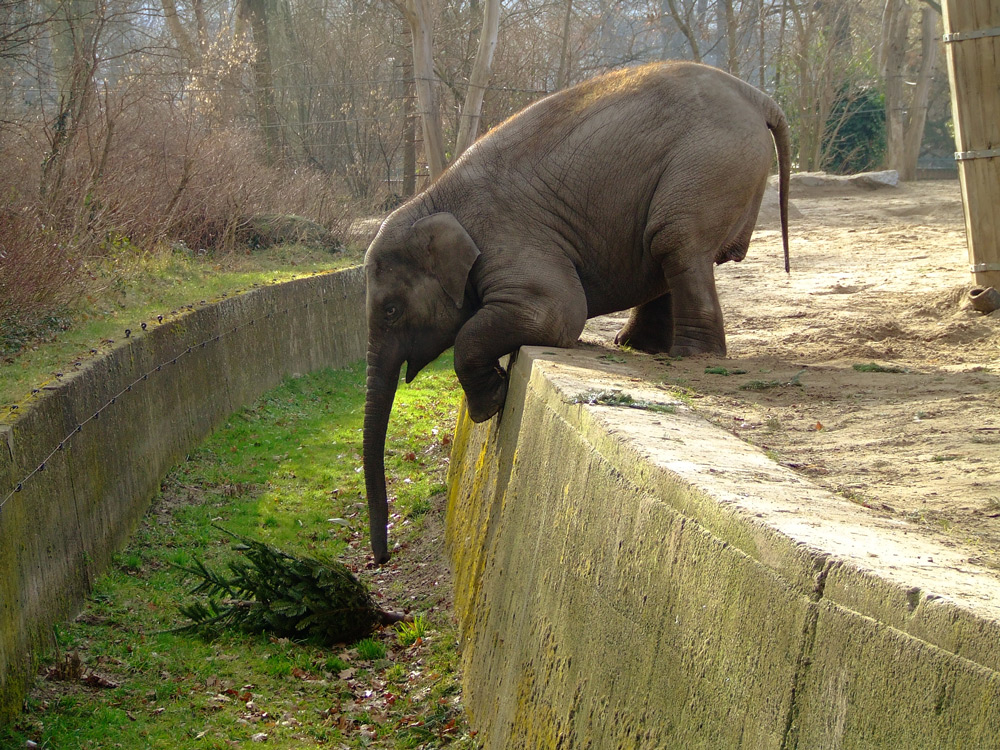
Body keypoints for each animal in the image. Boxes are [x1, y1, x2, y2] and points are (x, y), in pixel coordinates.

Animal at [362, 60, 788, 564]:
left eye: (391, 310)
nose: (382, 558)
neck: (432, 199)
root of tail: (758, 97)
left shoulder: (507, 234)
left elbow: (559, 312)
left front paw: (490, 406)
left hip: (708, 166)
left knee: (675, 240)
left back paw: (688, 356)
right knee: (666, 251)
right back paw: (637, 346)